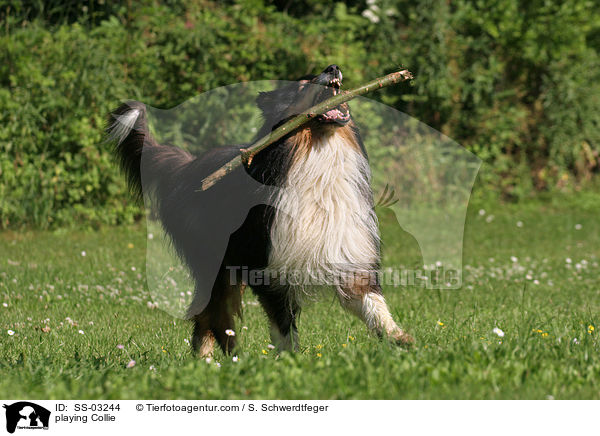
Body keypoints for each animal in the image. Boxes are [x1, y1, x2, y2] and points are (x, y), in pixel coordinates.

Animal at [106, 65, 412, 358]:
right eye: (302, 85)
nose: (333, 68)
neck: (317, 154)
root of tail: (187, 167)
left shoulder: (347, 254)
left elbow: (373, 305)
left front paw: (401, 339)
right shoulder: (271, 269)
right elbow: (283, 326)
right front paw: (290, 361)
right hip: (215, 264)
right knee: (212, 315)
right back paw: (220, 358)